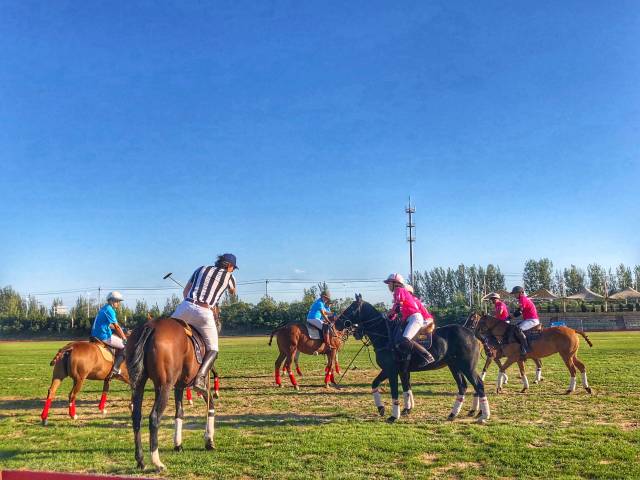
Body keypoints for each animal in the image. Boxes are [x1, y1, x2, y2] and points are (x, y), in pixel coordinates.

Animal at [127, 316, 218, 470]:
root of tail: (151, 326)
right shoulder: (204, 383)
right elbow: (210, 405)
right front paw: (209, 440)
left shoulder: (178, 386)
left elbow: (179, 413)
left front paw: (178, 444)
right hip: (165, 386)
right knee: (154, 417)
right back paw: (157, 462)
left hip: (140, 384)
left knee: (136, 416)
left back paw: (140, 460)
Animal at [336, 296, 490, 424]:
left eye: (351, 308)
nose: (336, 323)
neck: (384, 335)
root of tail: (472, 333)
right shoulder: (394, 370)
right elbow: (381, 384)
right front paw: (383, 408)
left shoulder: (392, 370)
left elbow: (395, 392)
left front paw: (394, 416)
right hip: (454, 366)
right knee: (463, 386)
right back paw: (453, 414)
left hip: (468, 367)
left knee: (479, 385)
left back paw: (483, 416)